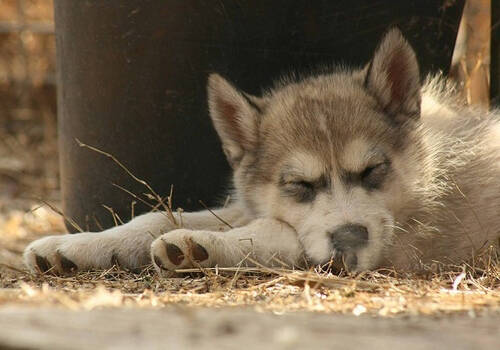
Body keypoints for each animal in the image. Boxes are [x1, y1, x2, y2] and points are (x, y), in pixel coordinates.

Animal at [24, 29, 500, 274]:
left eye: (371, 172)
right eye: (300, 184)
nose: (350, 241)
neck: (429, 175)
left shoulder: (401, 246)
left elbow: (278, 233)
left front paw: (199, 244)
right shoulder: (246, 204)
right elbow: (157, 216)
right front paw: (78, 245)